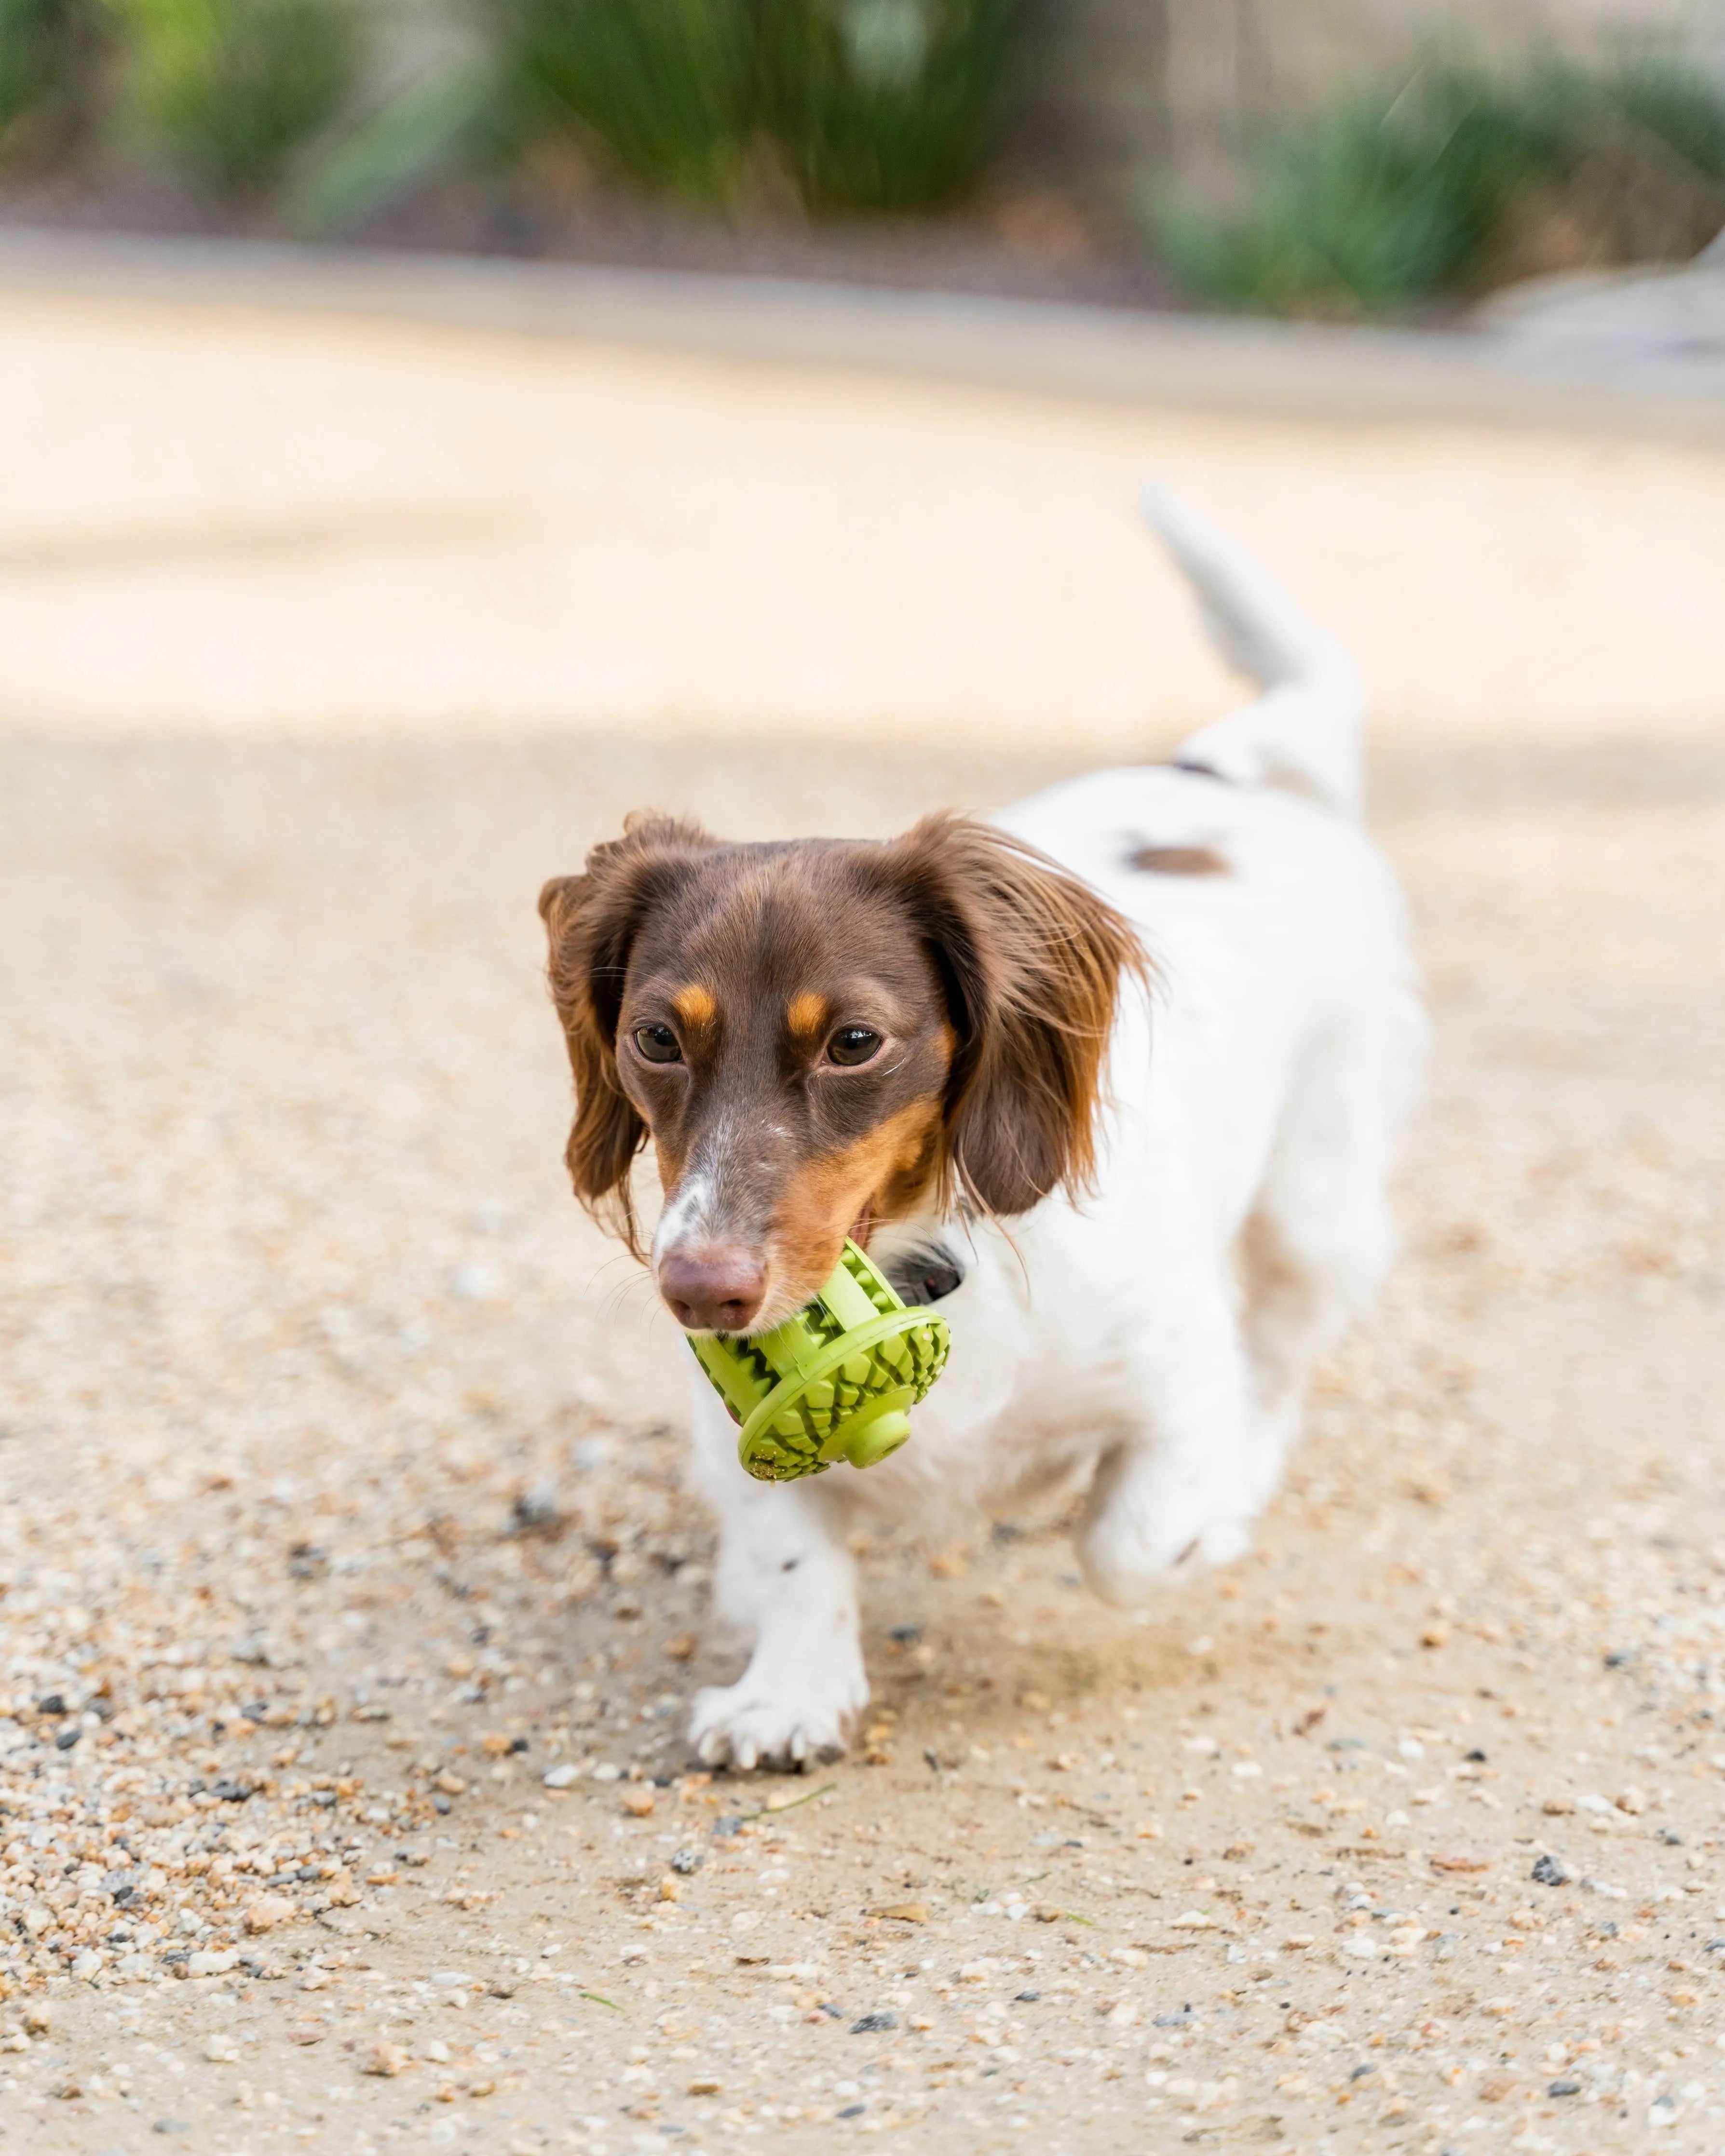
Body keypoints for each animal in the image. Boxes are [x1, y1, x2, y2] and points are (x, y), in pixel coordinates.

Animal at [543, 496, 1431, 1776]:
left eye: (854, 1041)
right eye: (657, 1037)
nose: (700, 1289)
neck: (926, 1256)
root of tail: (1220, 771)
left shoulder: (1174, 1374)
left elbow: (1129, 1540)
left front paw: (1199, 1519)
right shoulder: (731, 1438)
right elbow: (790, 1549)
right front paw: (786, 1689)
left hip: (1319, 1195)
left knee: (1280, 1351)